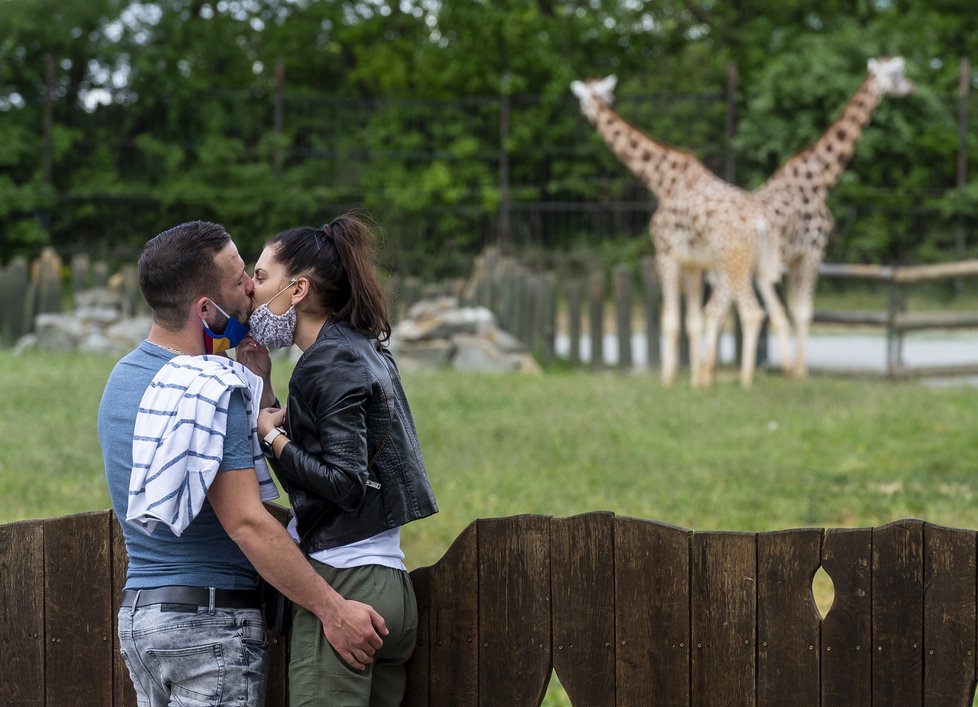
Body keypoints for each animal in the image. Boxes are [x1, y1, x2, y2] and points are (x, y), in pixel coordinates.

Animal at [568, 74, 788, 388]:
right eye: (608, 95)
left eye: (584, 98)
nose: (588, 113)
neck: (662, 180)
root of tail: (761, 223)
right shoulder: (693, 264)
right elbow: (692, 322)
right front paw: (696, 381)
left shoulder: (666, 254)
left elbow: (670, 322)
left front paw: (668, 380)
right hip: (761, 266)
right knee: (773, 310)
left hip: (732, 262)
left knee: (751, 312)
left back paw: (745, 380)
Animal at [756, 56, 916, 376]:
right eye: (899, 74)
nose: (912, 88)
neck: (822, 176)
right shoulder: (813, 250)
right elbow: (803, 311)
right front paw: (800, 372)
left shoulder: (797, 256)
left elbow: (797, 309)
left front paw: (795, 369)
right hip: (766, 260)